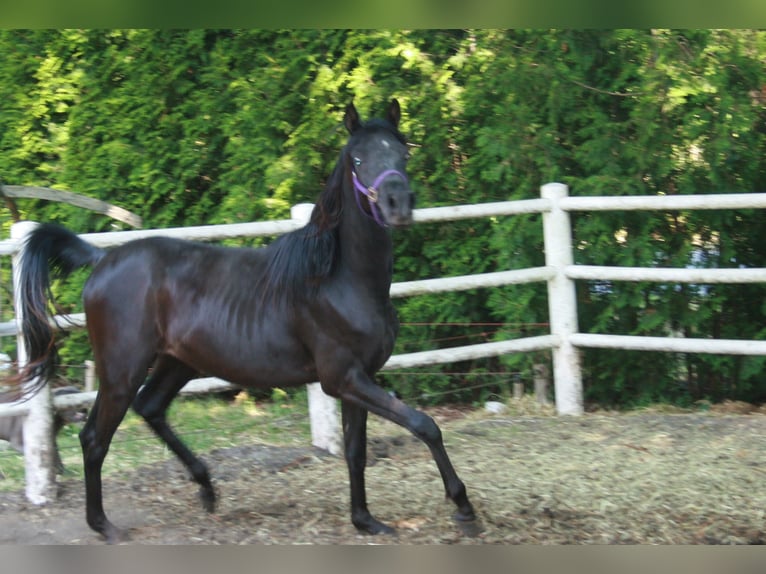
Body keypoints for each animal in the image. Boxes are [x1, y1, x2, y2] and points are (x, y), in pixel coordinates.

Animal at [15, 100, 476, 544]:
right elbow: (425, 425)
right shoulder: (342, 378)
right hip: (120, 370)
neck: (338, 279)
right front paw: (463, 507)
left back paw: (207, 488)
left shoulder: (357, 380)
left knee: (151, 407)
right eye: (358, 159)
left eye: (403, 153)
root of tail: (102, 259)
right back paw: (104, 526)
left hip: (179, 362)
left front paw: (366, 521)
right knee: (95, 438)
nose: (398, 205)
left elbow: (355, 452)